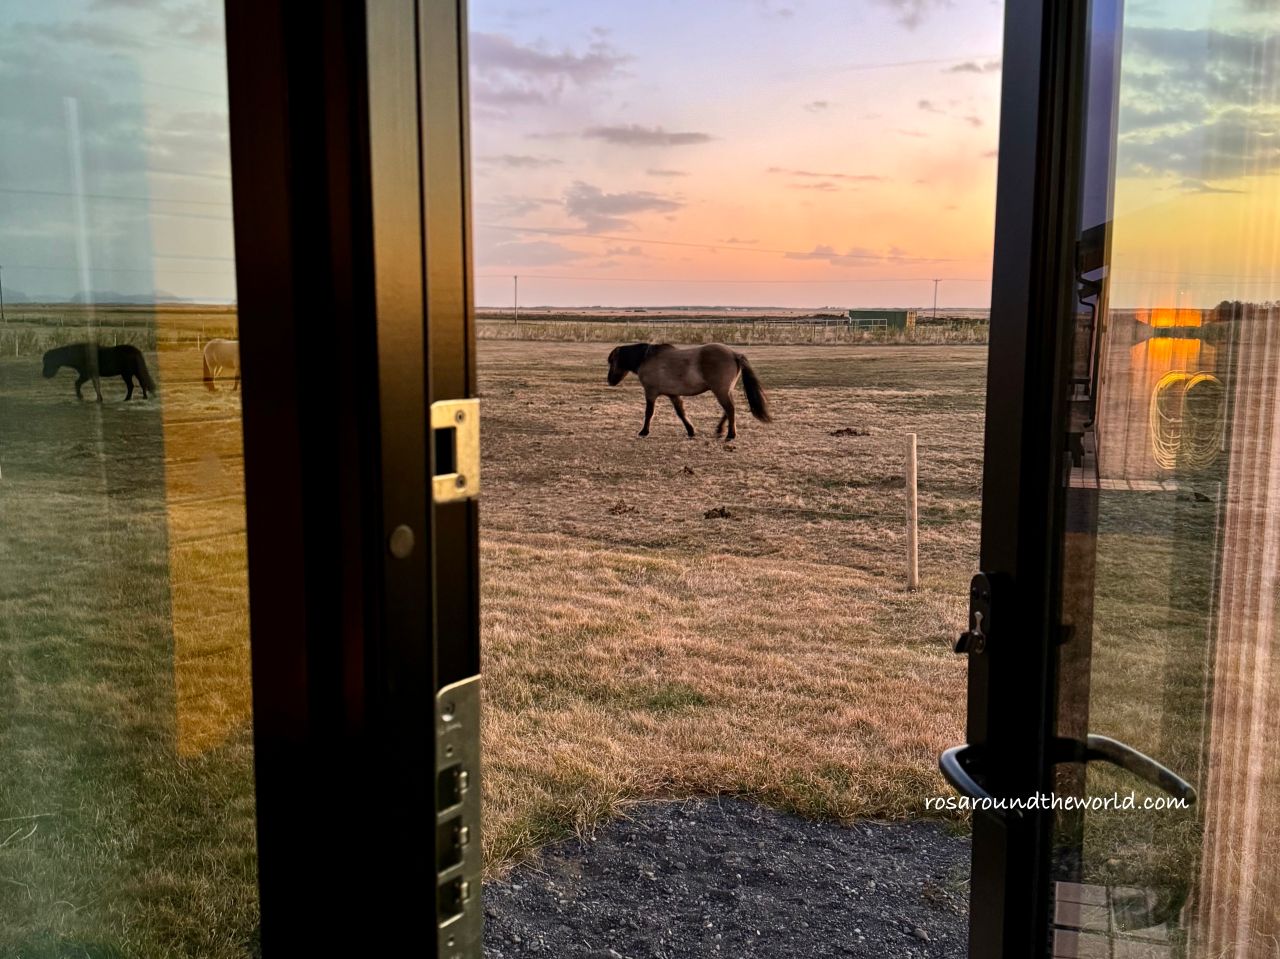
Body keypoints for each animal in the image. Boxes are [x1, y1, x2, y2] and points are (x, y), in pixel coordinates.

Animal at [606, 342, 772, 441]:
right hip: (724, 391)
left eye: (612, 361)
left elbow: (649, 413)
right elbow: (681, 413)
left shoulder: (651, 393)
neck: (647, 358)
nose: (609, 381)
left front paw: (644, 431)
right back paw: (720, 429)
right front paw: (691, 430)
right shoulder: (673, 395)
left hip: (720, 391)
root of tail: (734, 354)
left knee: (730, 409)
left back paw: (731, 434)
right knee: (728, 410)